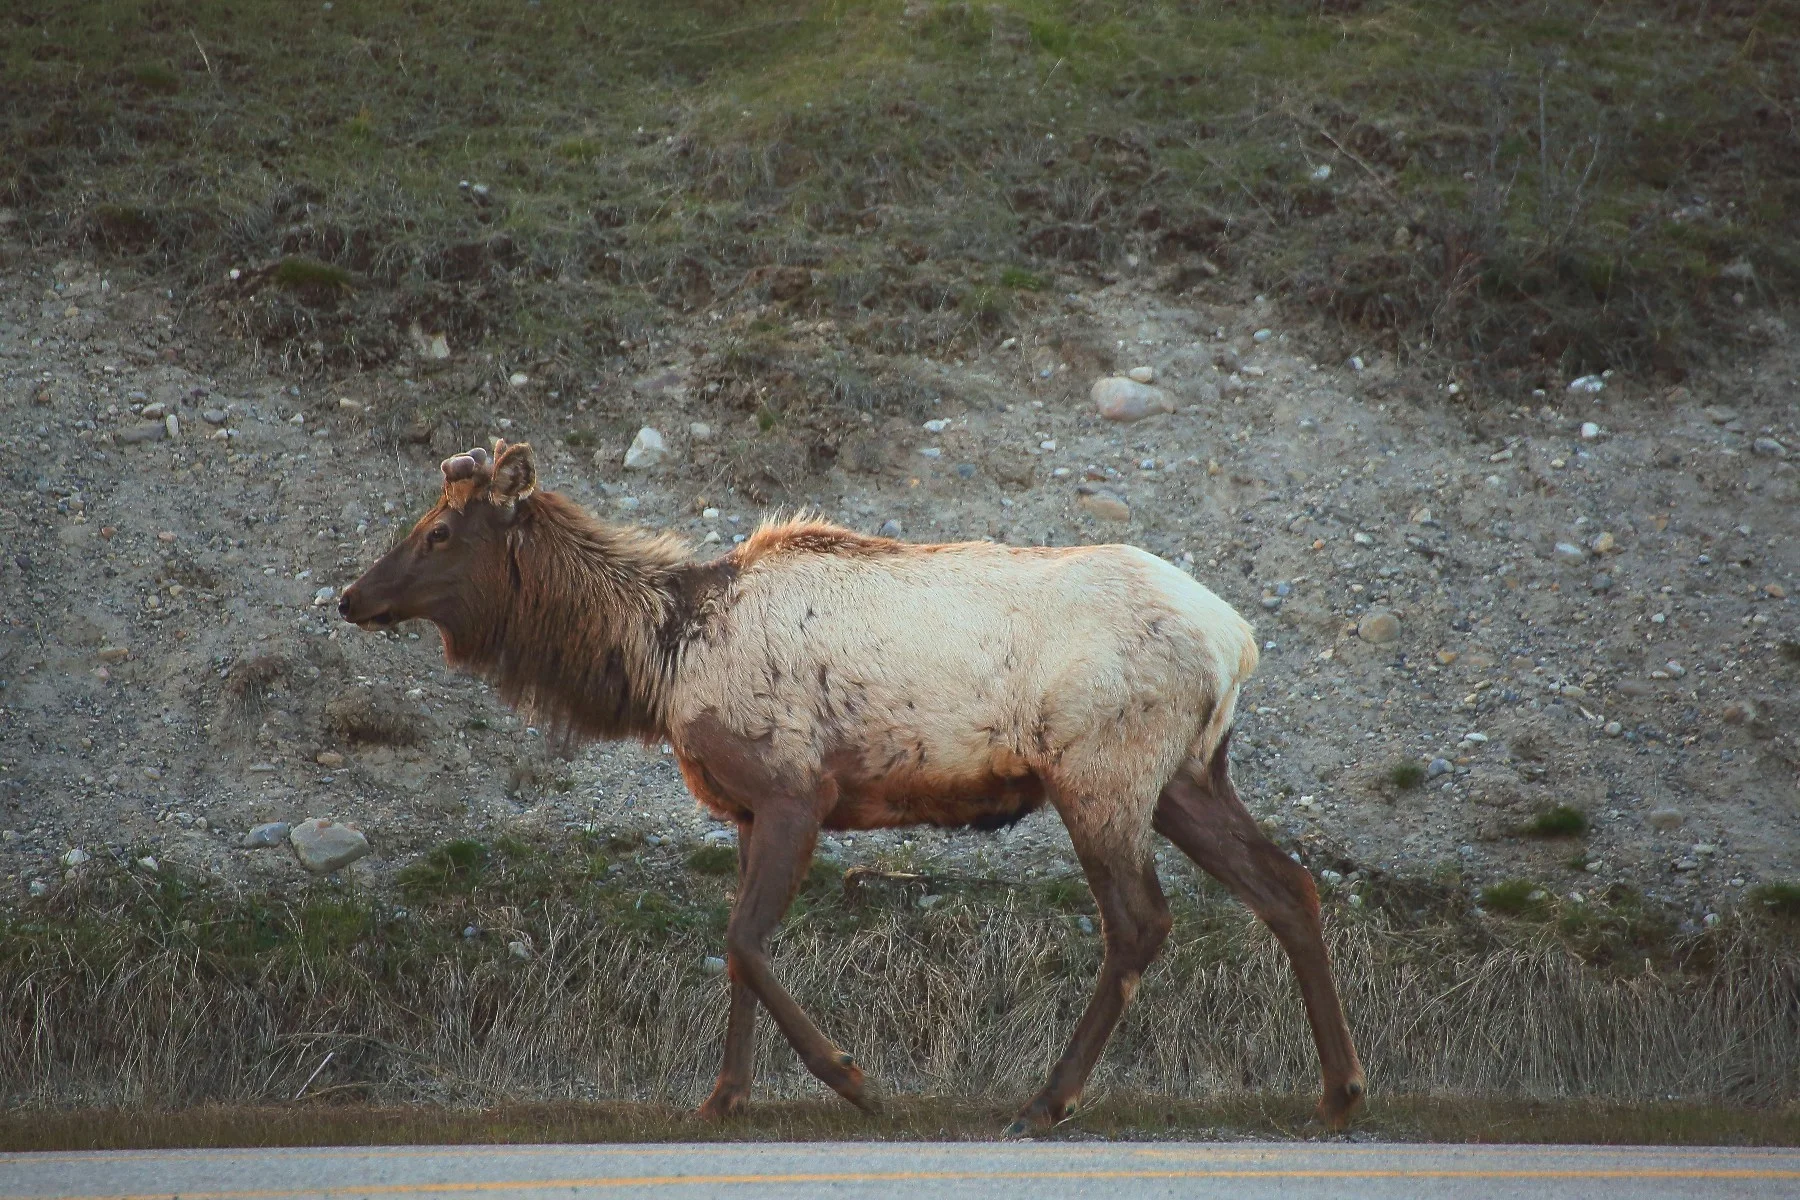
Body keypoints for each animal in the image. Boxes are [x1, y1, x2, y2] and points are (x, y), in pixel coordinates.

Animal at [337, 440, 1366, 1134]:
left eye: (437, 531)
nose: (351, 597)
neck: (662, 663)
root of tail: (1238, 638)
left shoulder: (798, 790)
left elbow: (745, 942)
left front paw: (855, 1080)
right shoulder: (746, 809)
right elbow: (736, 951)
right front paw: (723, 1099)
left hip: (1100, 766)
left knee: (1141, 920)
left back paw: (1046, 1099)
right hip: (1188, 773)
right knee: (1288, 885)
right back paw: (1340, 1089)